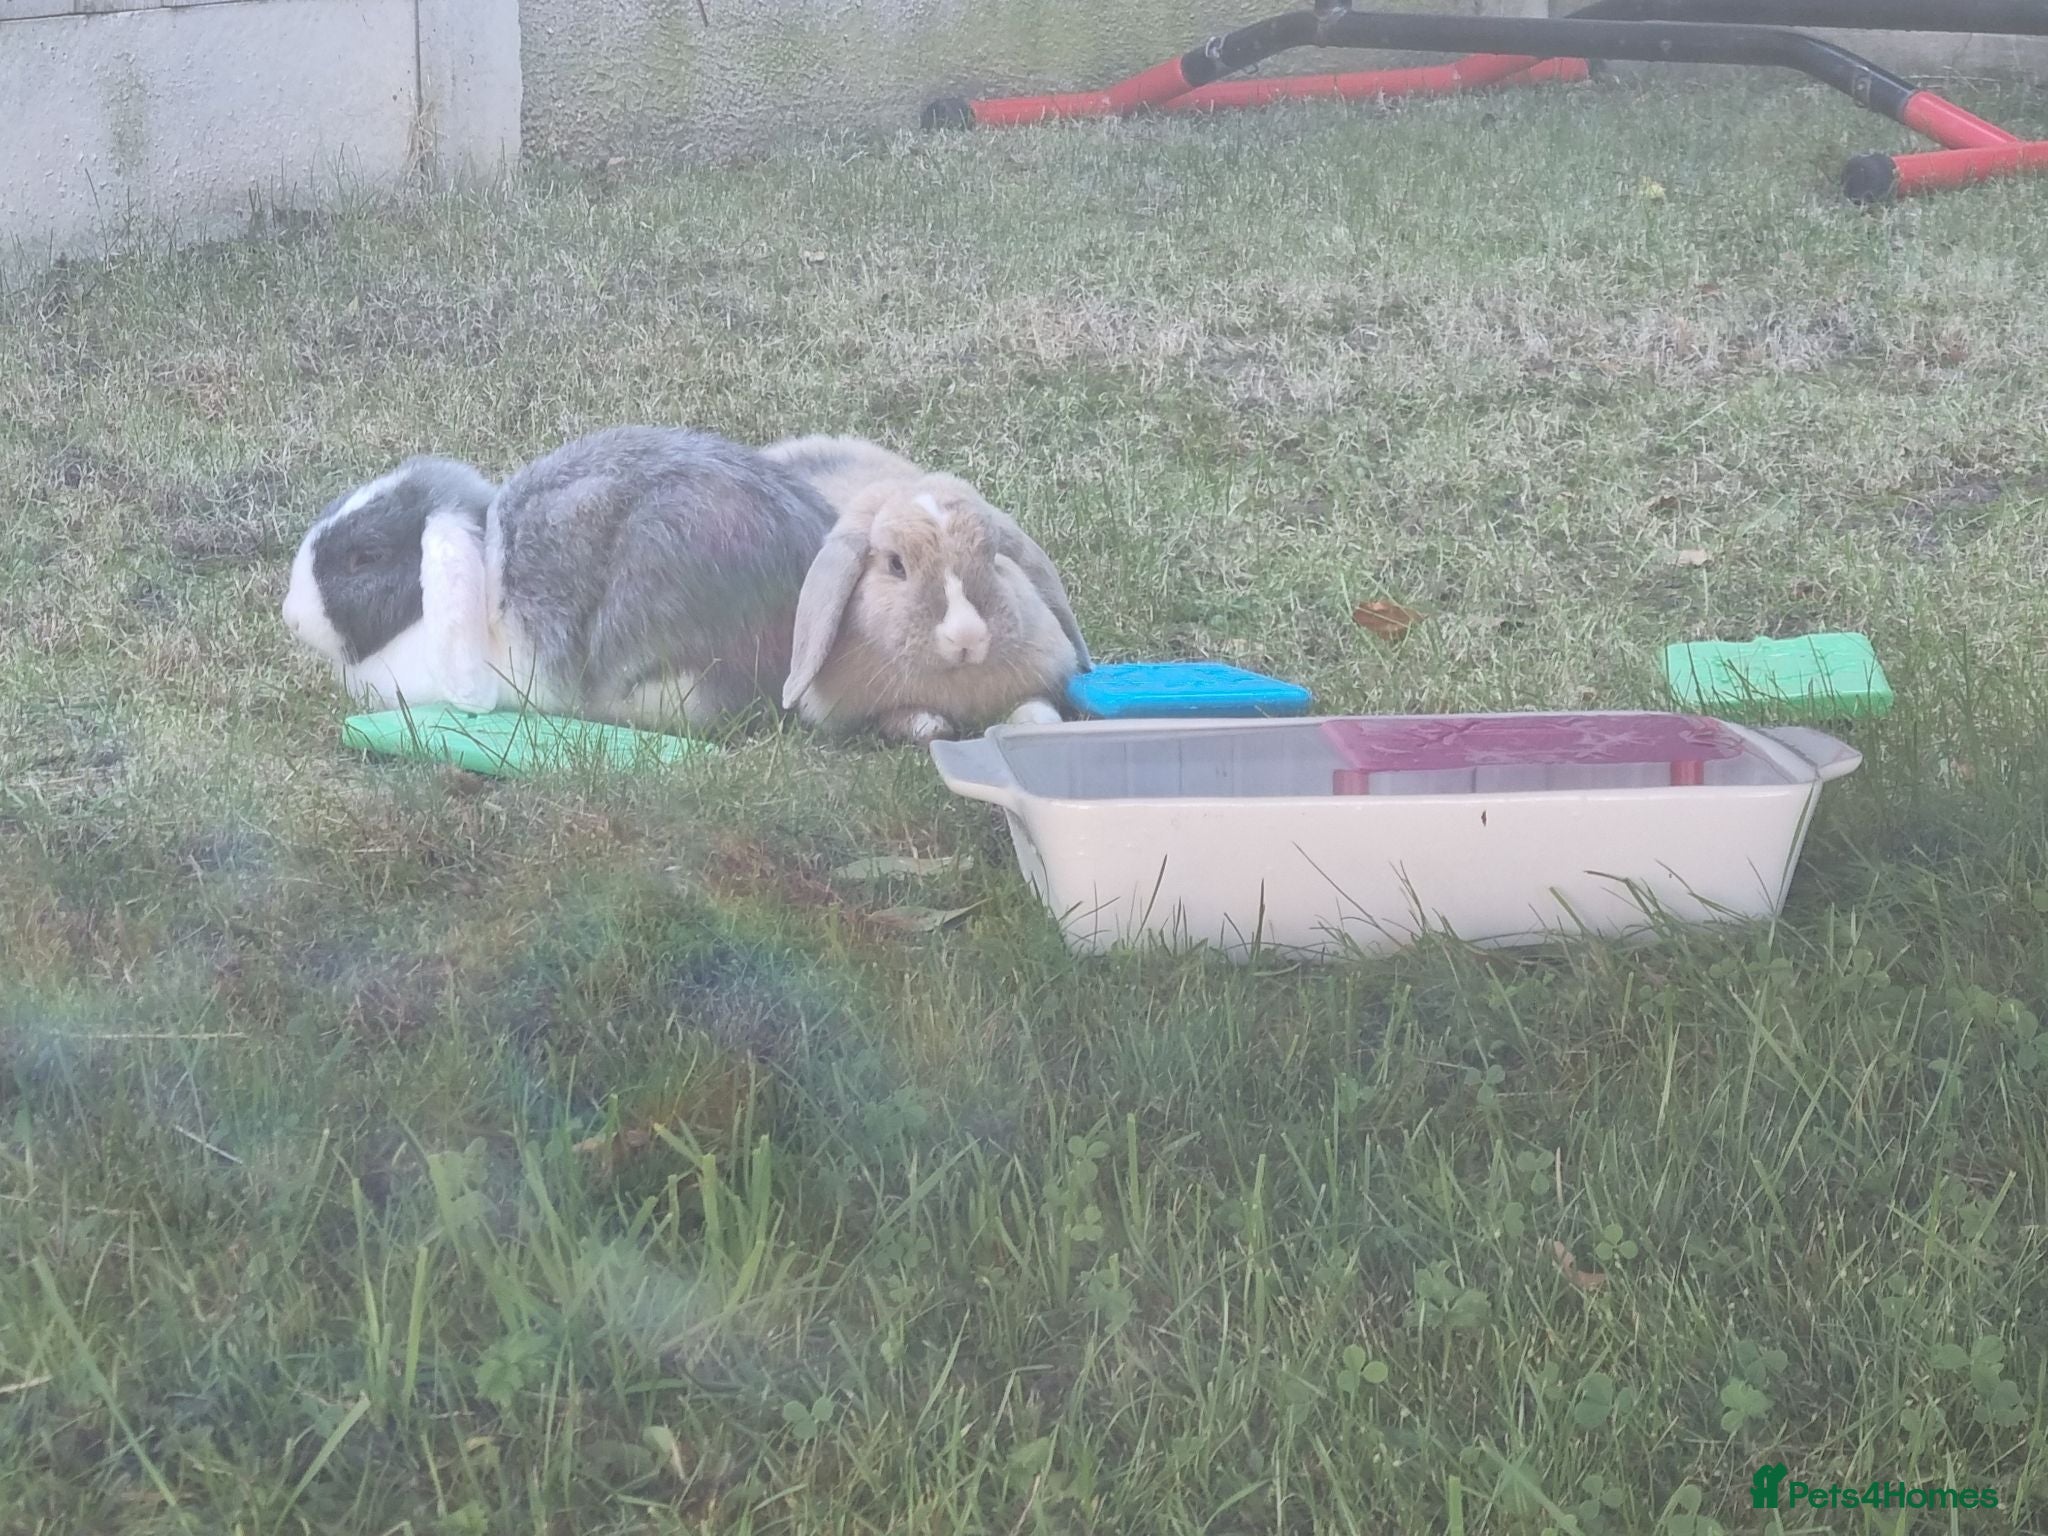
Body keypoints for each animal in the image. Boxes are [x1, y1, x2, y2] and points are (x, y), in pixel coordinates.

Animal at [762, 434, 1091, 744]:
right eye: (896, 565)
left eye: (994, 555)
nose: (966, 637)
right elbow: (903, 719)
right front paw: (930, 726)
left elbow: (1035, 707)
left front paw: (1038, 724)